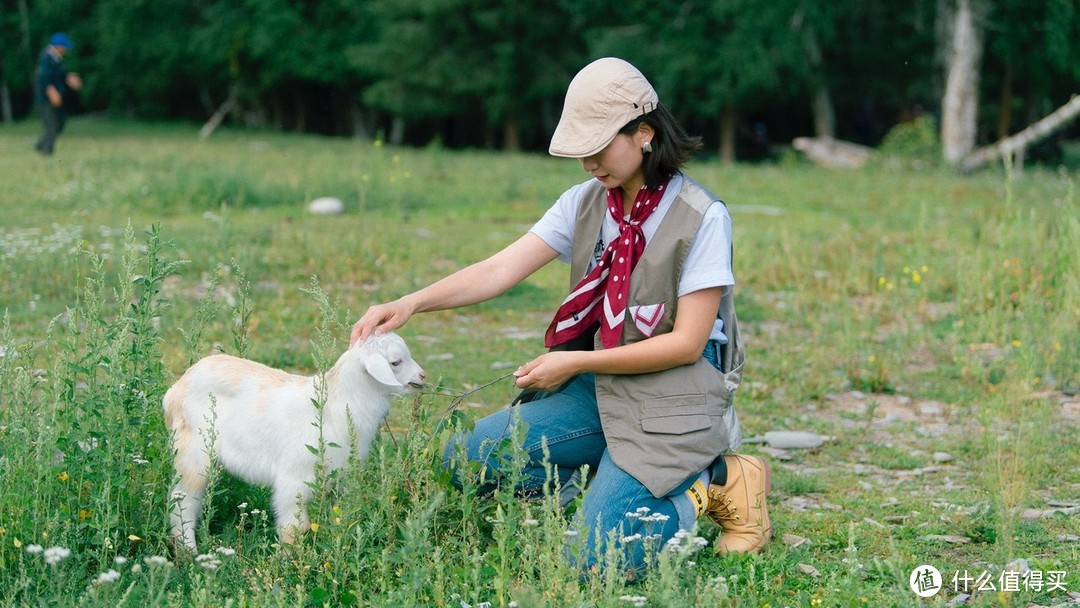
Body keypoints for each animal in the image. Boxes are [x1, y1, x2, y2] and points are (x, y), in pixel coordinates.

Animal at [164, 332, 425, 552]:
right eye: (395, 362)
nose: (422, 376)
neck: (334, 405)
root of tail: (175, 391)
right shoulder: (294, 479)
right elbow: (294, 528)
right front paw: (287, 563)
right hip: (193, 453)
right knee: (182, 502)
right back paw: (189, 552)